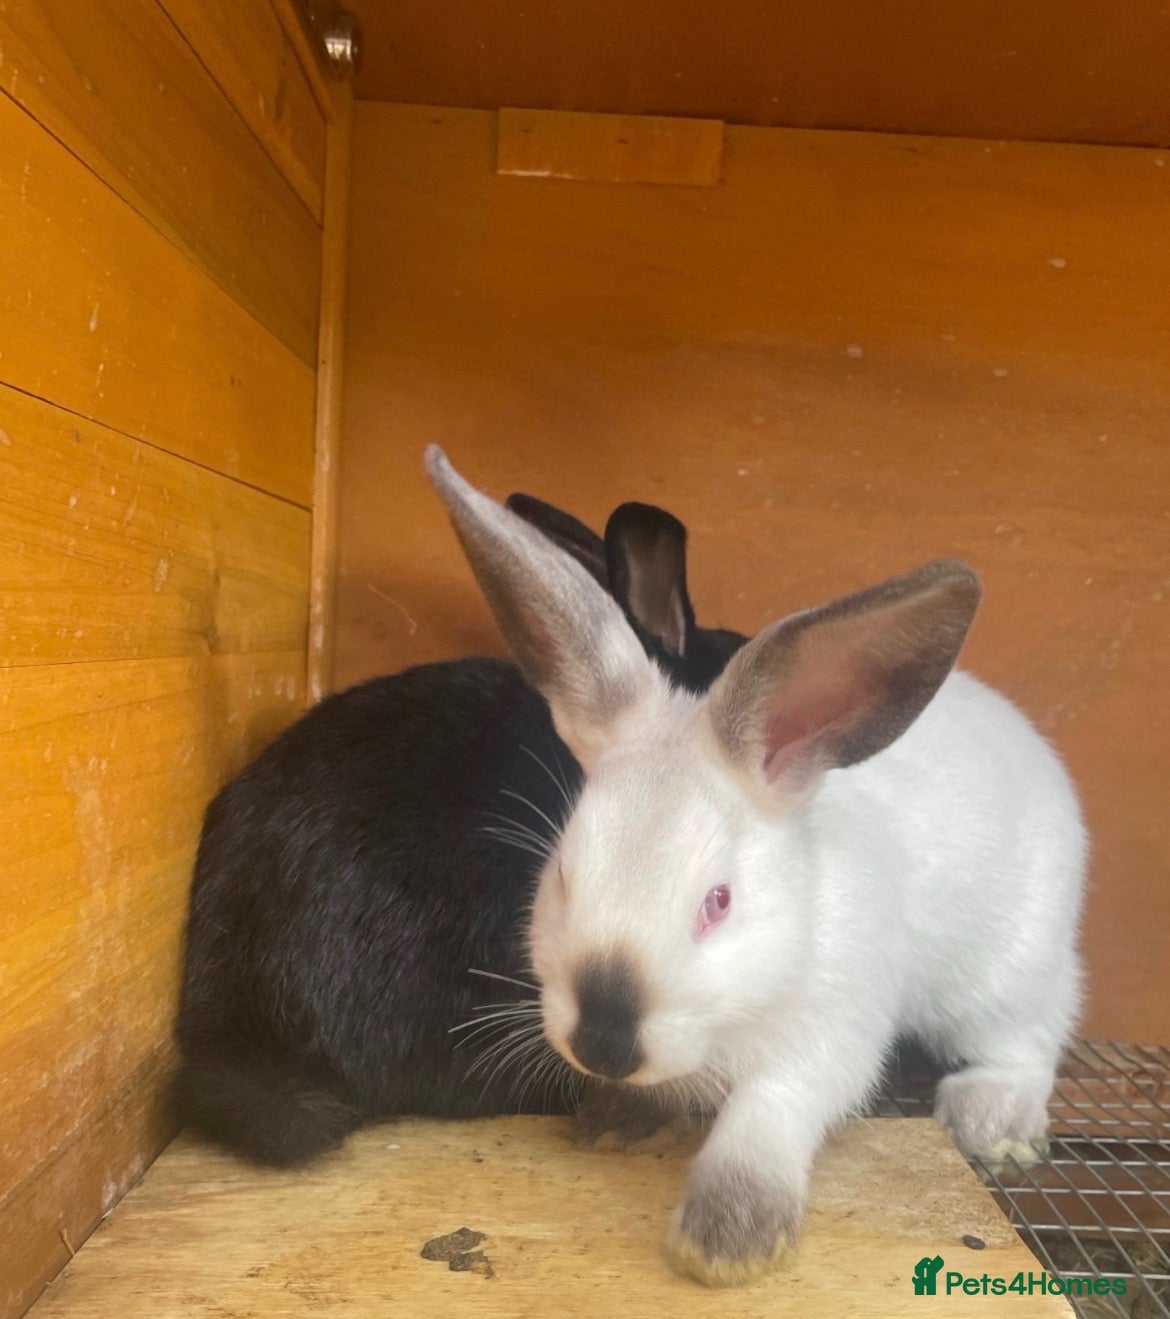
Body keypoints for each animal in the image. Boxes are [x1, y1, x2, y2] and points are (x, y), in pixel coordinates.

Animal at [425, 446, 1087, 1288]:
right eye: (565, 877)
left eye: (719, 901)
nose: (605, 1042)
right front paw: (617, 1115)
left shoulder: (829, 1030)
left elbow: (771, 1111)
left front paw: (727, 1242)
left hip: (1006, 968)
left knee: (1033, 1035)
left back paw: (989, 1117)